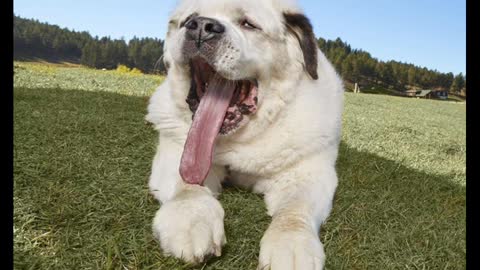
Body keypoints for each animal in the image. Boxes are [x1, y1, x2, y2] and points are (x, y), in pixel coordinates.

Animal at [144, 0, 344, 268]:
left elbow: (294, 209)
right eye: (189, 19)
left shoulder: (309, 172)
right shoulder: (177, 151)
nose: (201, 27)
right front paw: (190, 221)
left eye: (248, 24)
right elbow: (188, 186)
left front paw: (291, 243)